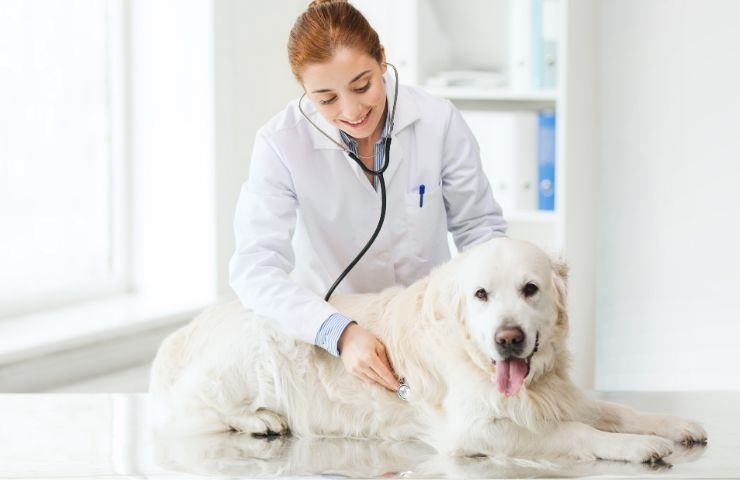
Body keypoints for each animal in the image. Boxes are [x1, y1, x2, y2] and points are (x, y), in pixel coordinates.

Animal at [149, 238, 704, 464]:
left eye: (530, 289)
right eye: (481, 295)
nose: (508, 338)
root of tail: (188, 327)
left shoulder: (556, 393)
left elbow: (615, 410)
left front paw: (672, 425)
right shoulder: (476, 430)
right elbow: (579, 433)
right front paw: (636, 447)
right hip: (252, 355)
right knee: (193, 411)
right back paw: (262, 420)